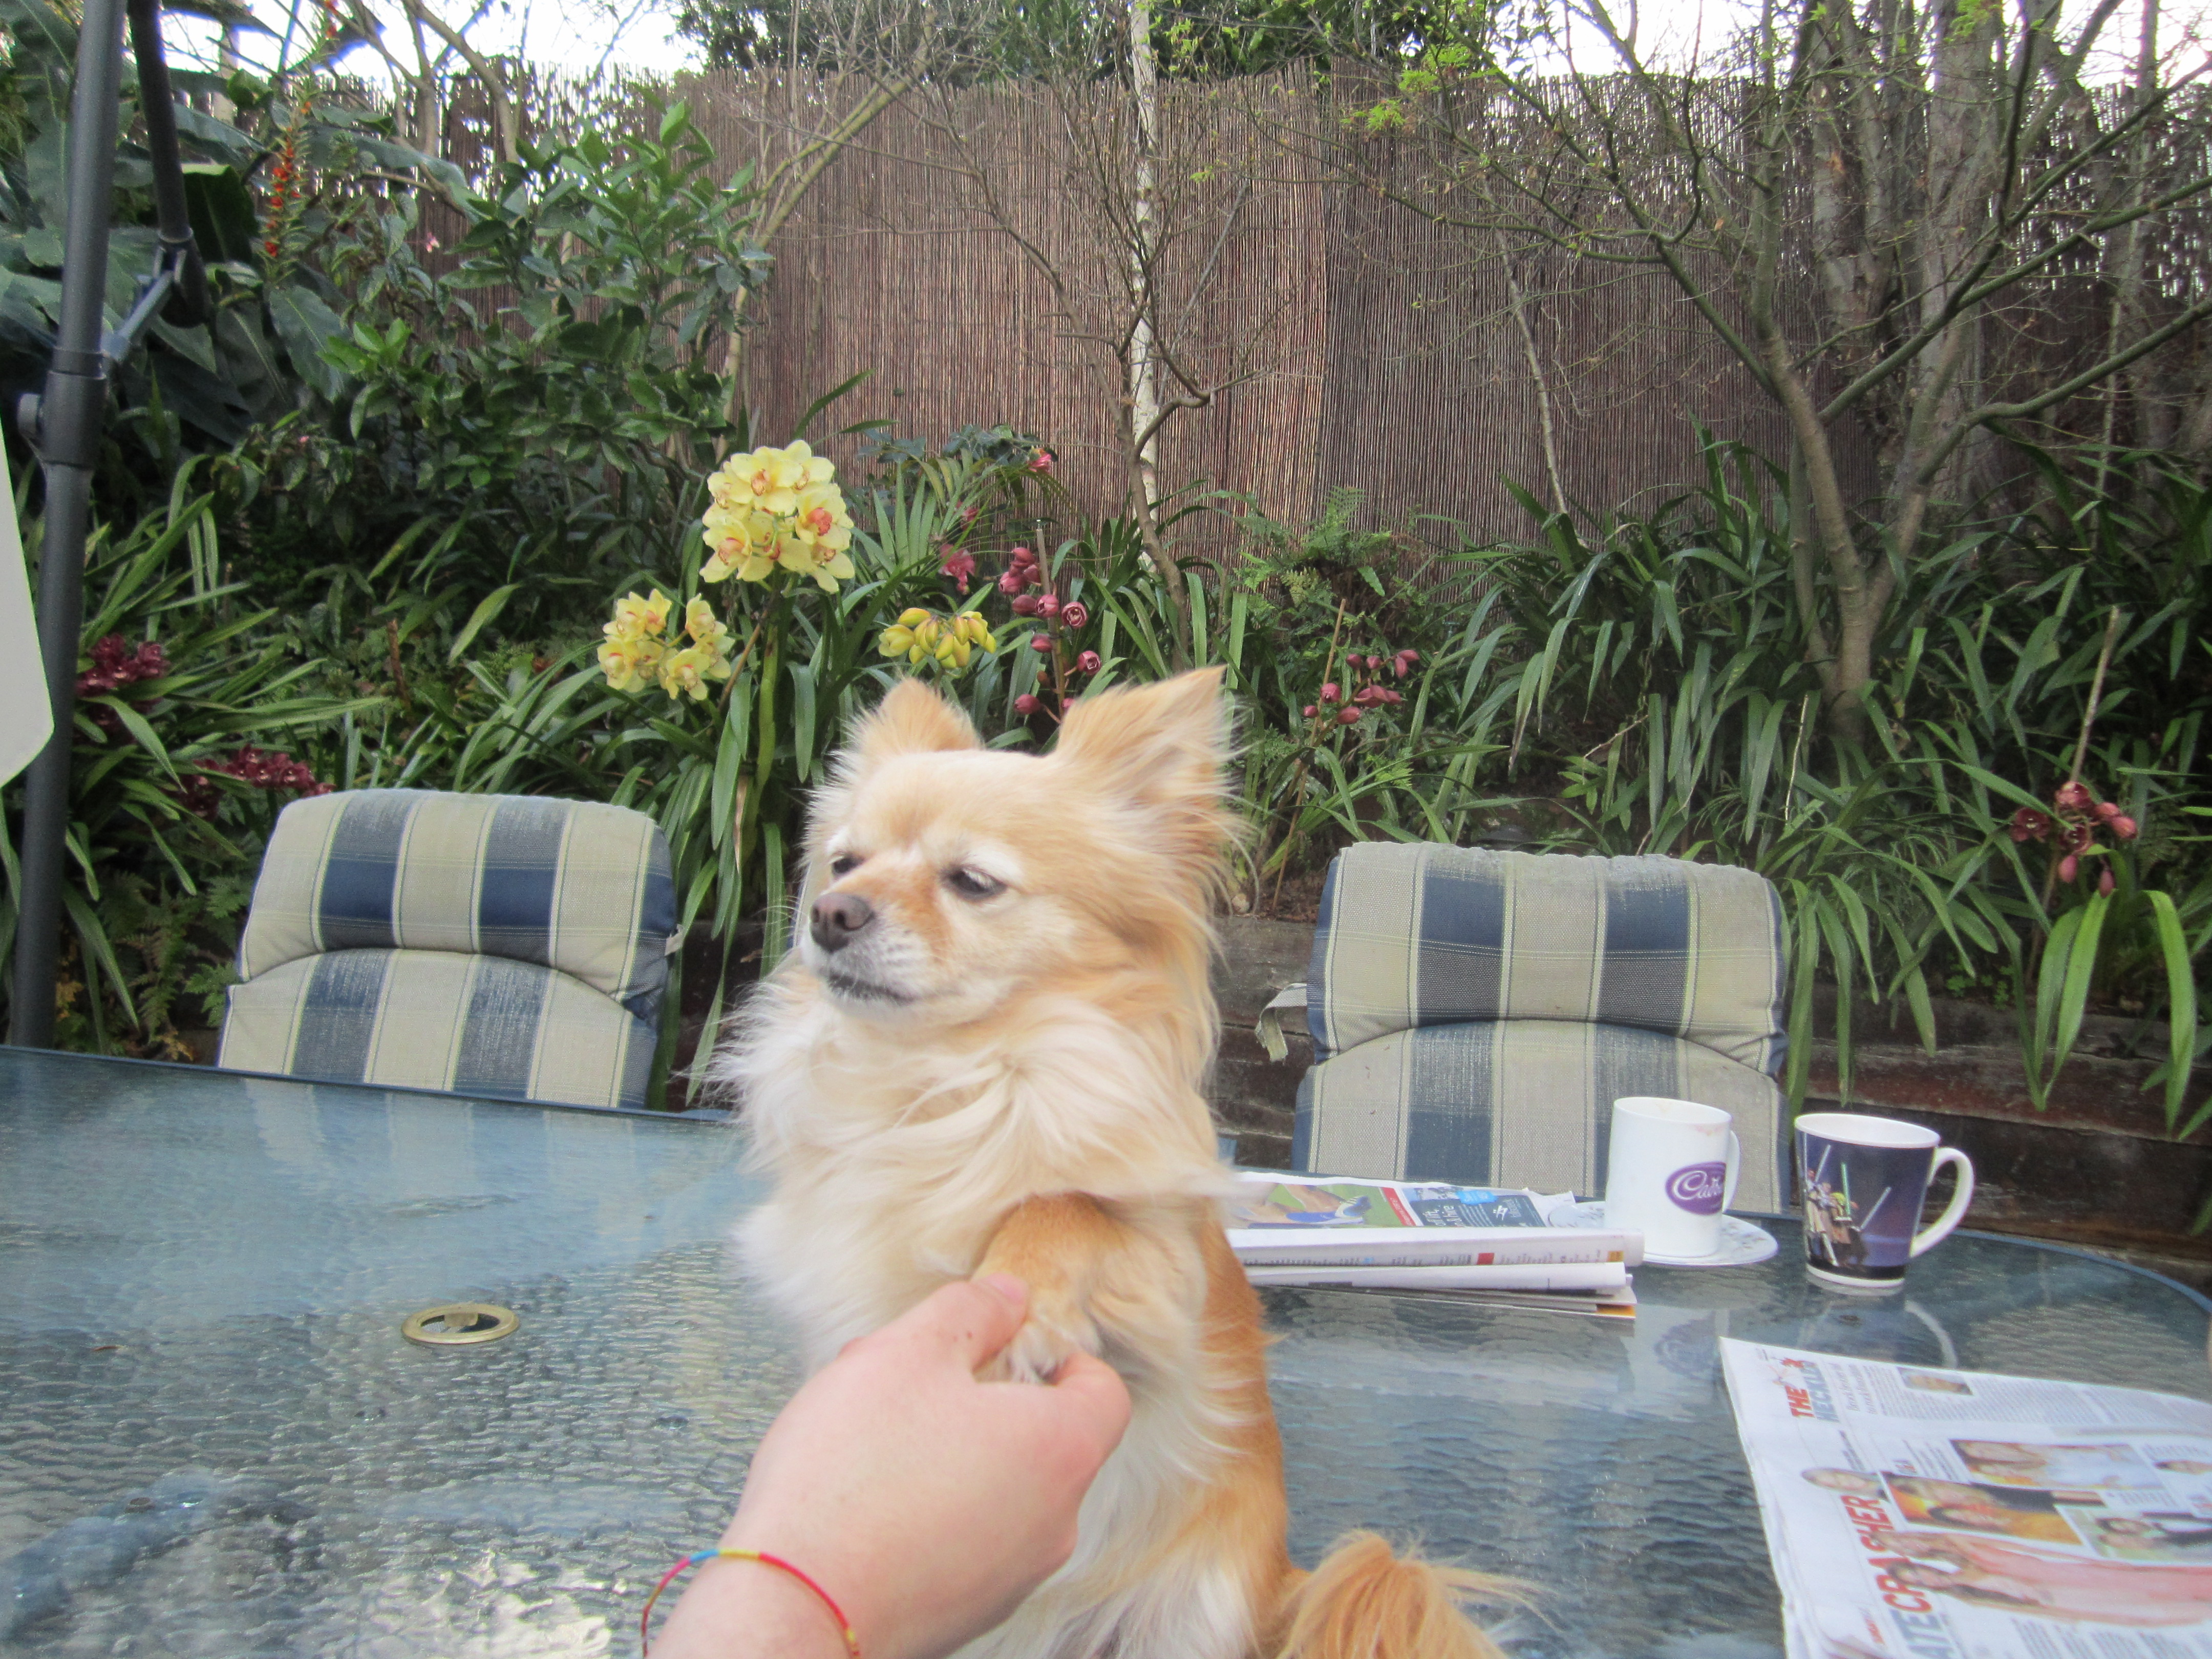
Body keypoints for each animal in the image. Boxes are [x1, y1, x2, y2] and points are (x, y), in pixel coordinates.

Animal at [722, 668, 1513, 1659]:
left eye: (971, 882)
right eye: (841, 866)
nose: (831, 916)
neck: (942, 1081)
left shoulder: (1165, 1282)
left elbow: (1062, 1206)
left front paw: (1026, 1298)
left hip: (1199, 1609)